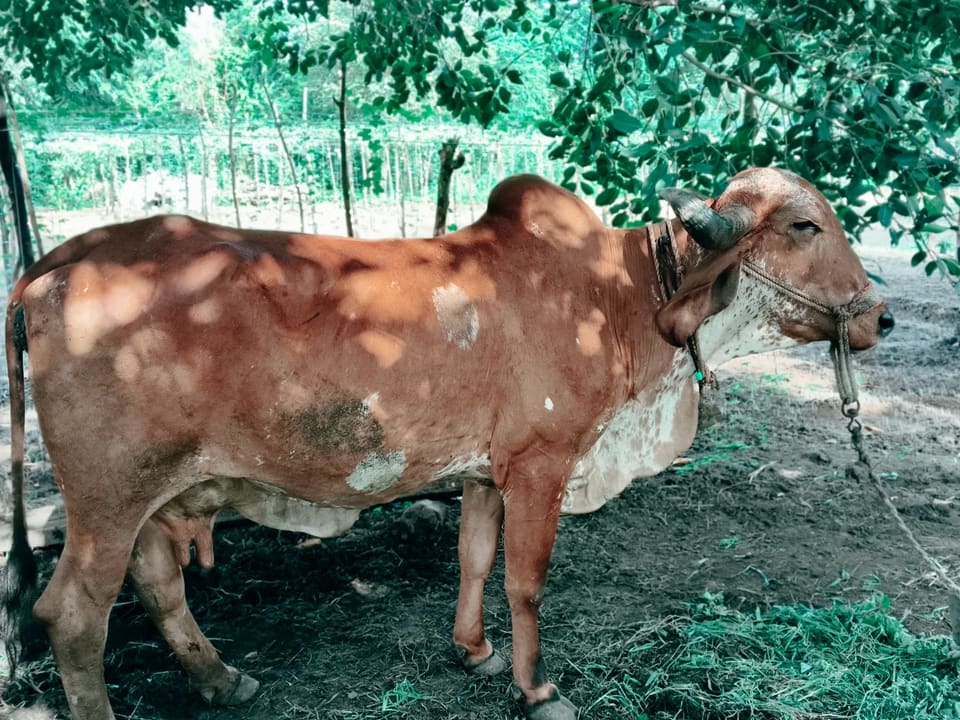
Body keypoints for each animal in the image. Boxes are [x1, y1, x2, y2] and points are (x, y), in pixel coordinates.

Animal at [1, 168, 893, 720]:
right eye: (805, 225)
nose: (880, 317)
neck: (622, 297)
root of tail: (45, 267)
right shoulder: (542, 463)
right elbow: (526, 581)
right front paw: (539, 688)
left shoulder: (485, 471)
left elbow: (473, 558)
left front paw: (475, 651)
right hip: (107, 497)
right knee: (72, 615)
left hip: (157, 494)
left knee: (157, 586)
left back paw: (222, 679)